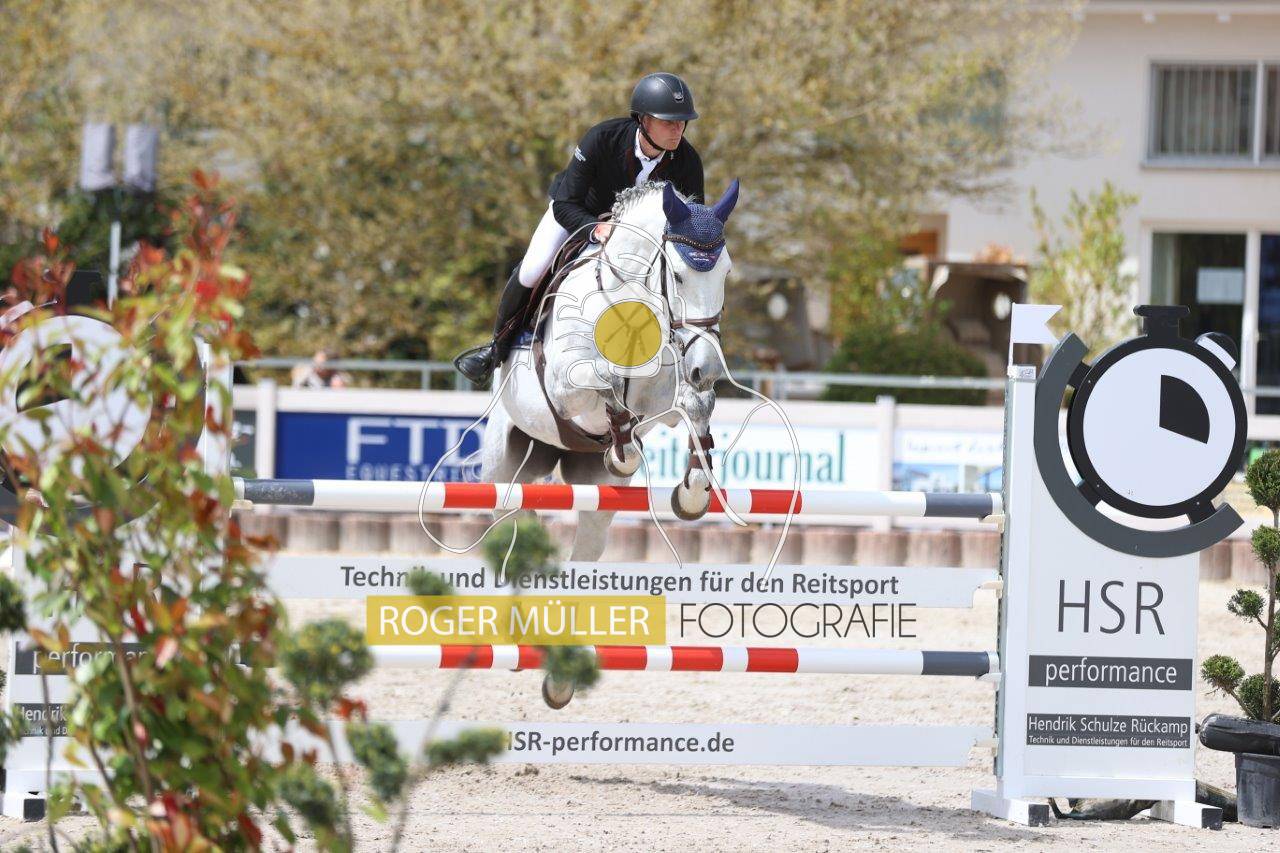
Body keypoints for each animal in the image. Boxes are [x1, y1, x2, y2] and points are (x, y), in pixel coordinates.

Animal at [478, 179, 739, 560]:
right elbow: (608, 379)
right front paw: (624, 454)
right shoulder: (562, 391)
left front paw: (692, 493)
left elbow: (696, 404)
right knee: (509, 518)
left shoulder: (661, 402)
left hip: (595, 497)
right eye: (677, 276)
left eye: (726, 272)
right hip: (503, 471)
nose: (706, 367)